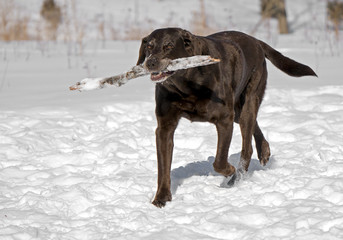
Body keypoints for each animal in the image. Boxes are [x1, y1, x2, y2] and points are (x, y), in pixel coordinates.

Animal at [136, 27, 318, 208]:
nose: (150, 63)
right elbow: (163, 167)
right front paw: (161, 198)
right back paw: (264, 151)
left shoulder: (224, 120)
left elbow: (219, 160)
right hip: (238, 108)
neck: (187, 84)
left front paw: (230, 171)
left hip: (249, 99)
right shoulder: (165, 127)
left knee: (247, 145)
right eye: (149, 46)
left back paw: (236, 177)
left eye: (169, 46)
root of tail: (256, 41)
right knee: (253, 127)